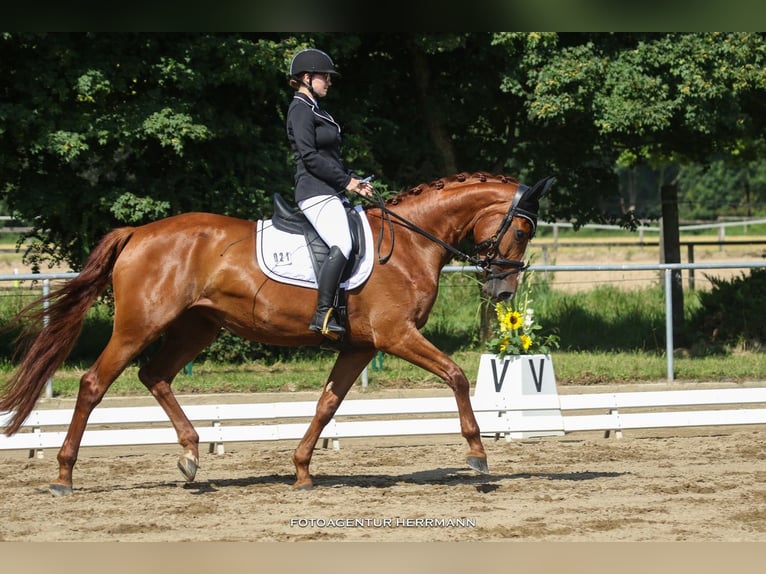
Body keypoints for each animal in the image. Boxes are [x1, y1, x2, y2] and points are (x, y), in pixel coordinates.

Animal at [0, 171, 552, 496]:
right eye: (524, 230)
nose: (503, 290)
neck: (411, 243)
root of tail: (137, 233)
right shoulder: (394, 335)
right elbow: (456, 376)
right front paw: (478, 456)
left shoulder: (360, 346)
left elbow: (327, 404)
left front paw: (303, 470)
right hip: (141, 324)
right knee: (95, 384)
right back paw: (64, 476)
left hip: (197, 326)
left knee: (154, 375)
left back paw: (190, 458)